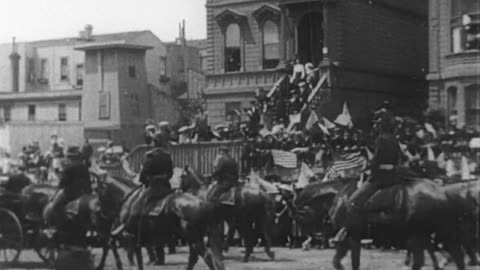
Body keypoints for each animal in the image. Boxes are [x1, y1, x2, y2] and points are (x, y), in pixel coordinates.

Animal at [328, 176, 466, 270]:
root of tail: (442, 193)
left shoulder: (353, 237)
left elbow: (354, 262)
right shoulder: (347, 239)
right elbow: (337, 261)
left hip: (423, 234)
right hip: (434, 232)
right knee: (454, 254)